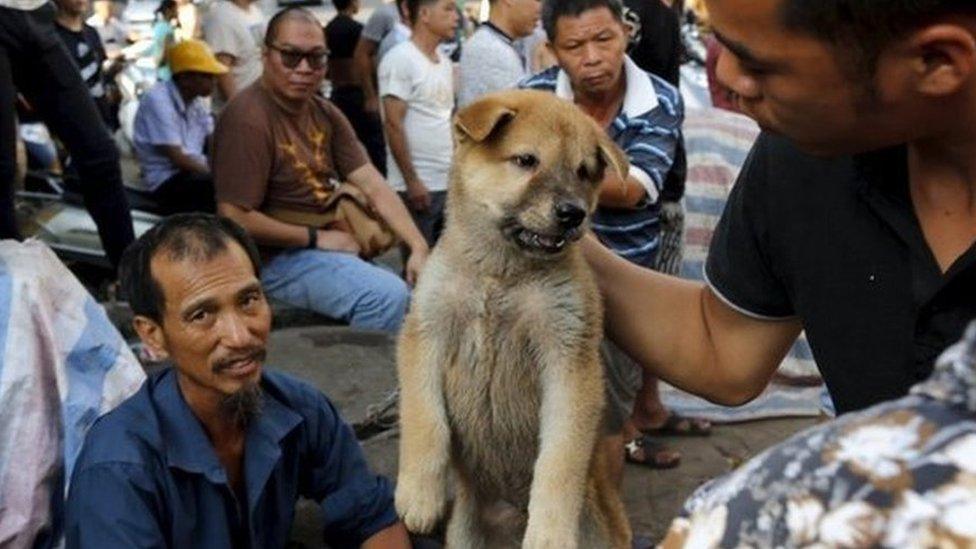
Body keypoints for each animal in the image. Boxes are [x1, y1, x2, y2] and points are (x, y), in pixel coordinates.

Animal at [394, 91, 632, 548]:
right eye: (526, 160)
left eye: (583, 172)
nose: (573, 213)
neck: (499, 275)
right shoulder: (425, 332)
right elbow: (424, 419)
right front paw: (419, 493)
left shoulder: (569, 358)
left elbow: (559, 461)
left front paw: (549, 533)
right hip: (466, 534)